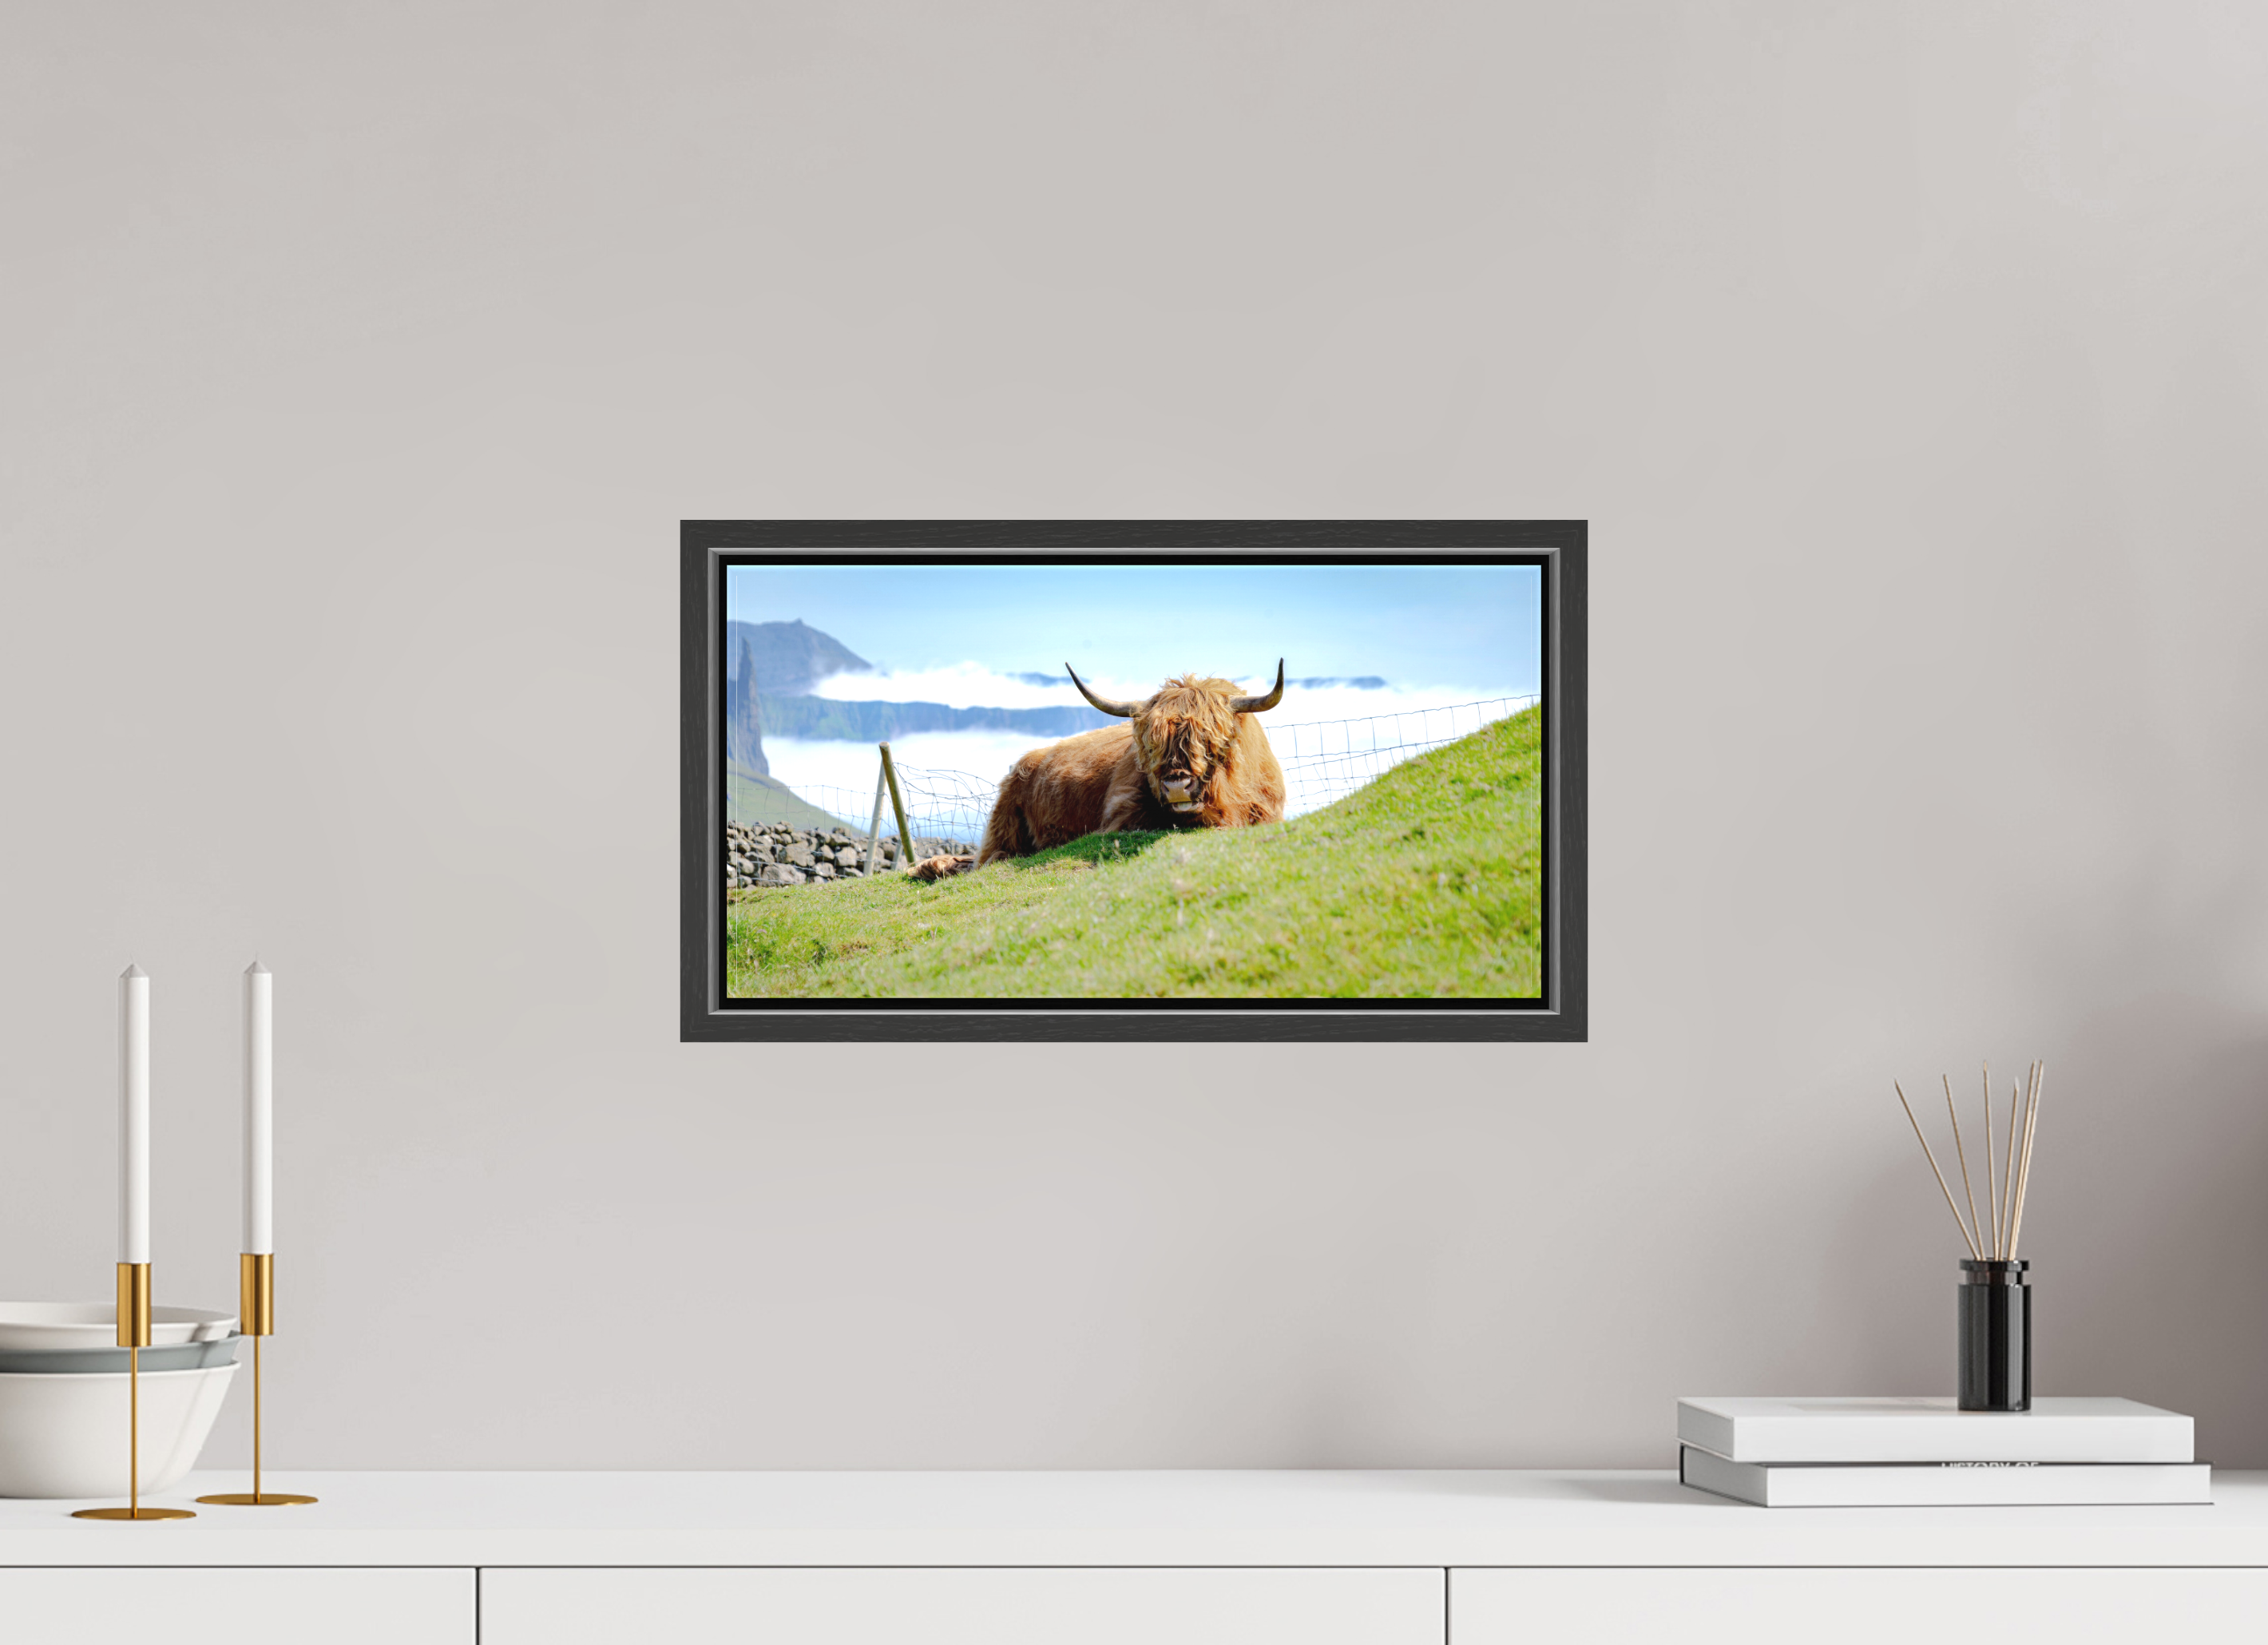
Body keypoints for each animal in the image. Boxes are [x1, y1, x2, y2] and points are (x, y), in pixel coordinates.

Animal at [913, 663, 1289, 880]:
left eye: (1211, 741)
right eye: (1150, 745)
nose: (1176, 786)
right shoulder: (1120, 817)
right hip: (1002, 825)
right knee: (990, 858)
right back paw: (929, 867)